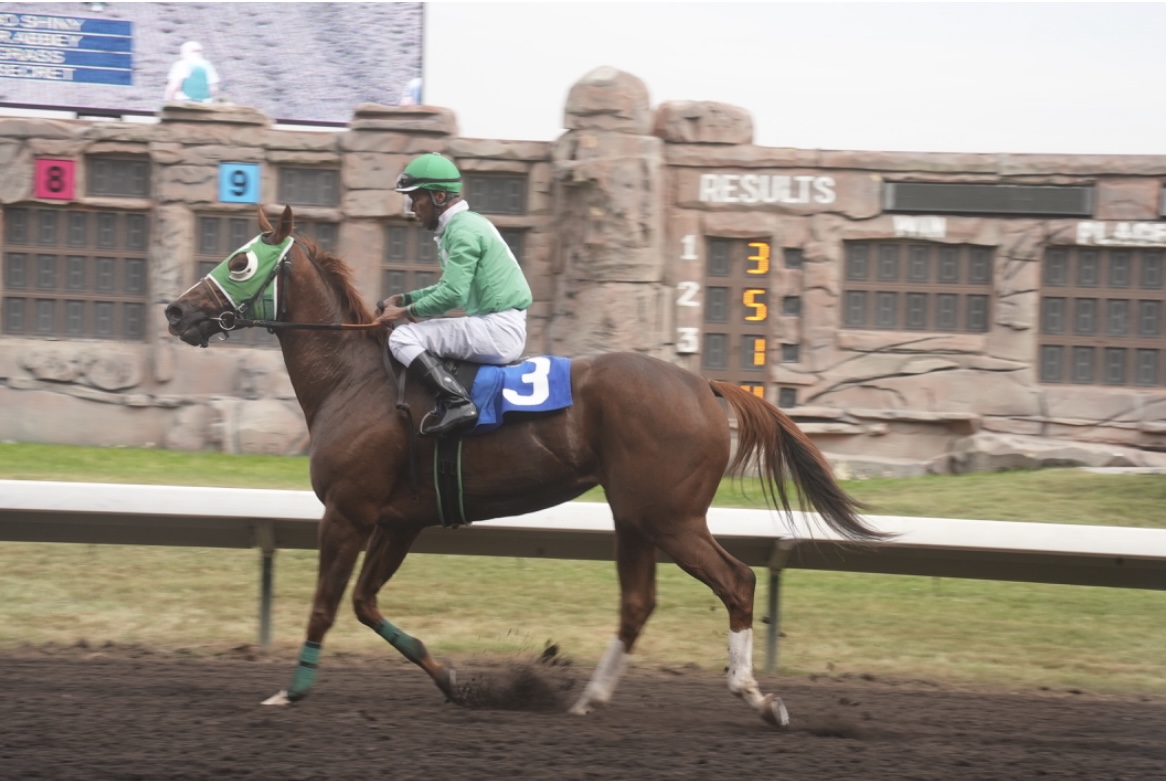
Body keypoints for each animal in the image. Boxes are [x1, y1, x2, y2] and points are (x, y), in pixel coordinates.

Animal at [166, 206, 881, 727]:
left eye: (240, 261)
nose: (175, 310)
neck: (355, 379)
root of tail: (706, 385)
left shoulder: (348, 513)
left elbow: (325, 606)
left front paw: (289, 693)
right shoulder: (399, 521)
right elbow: (367, 605)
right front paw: (455, 681)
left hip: (670, 517)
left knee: (737, 581)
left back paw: (757, 697)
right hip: (636, 517)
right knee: (638, 602)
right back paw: (588, 699)